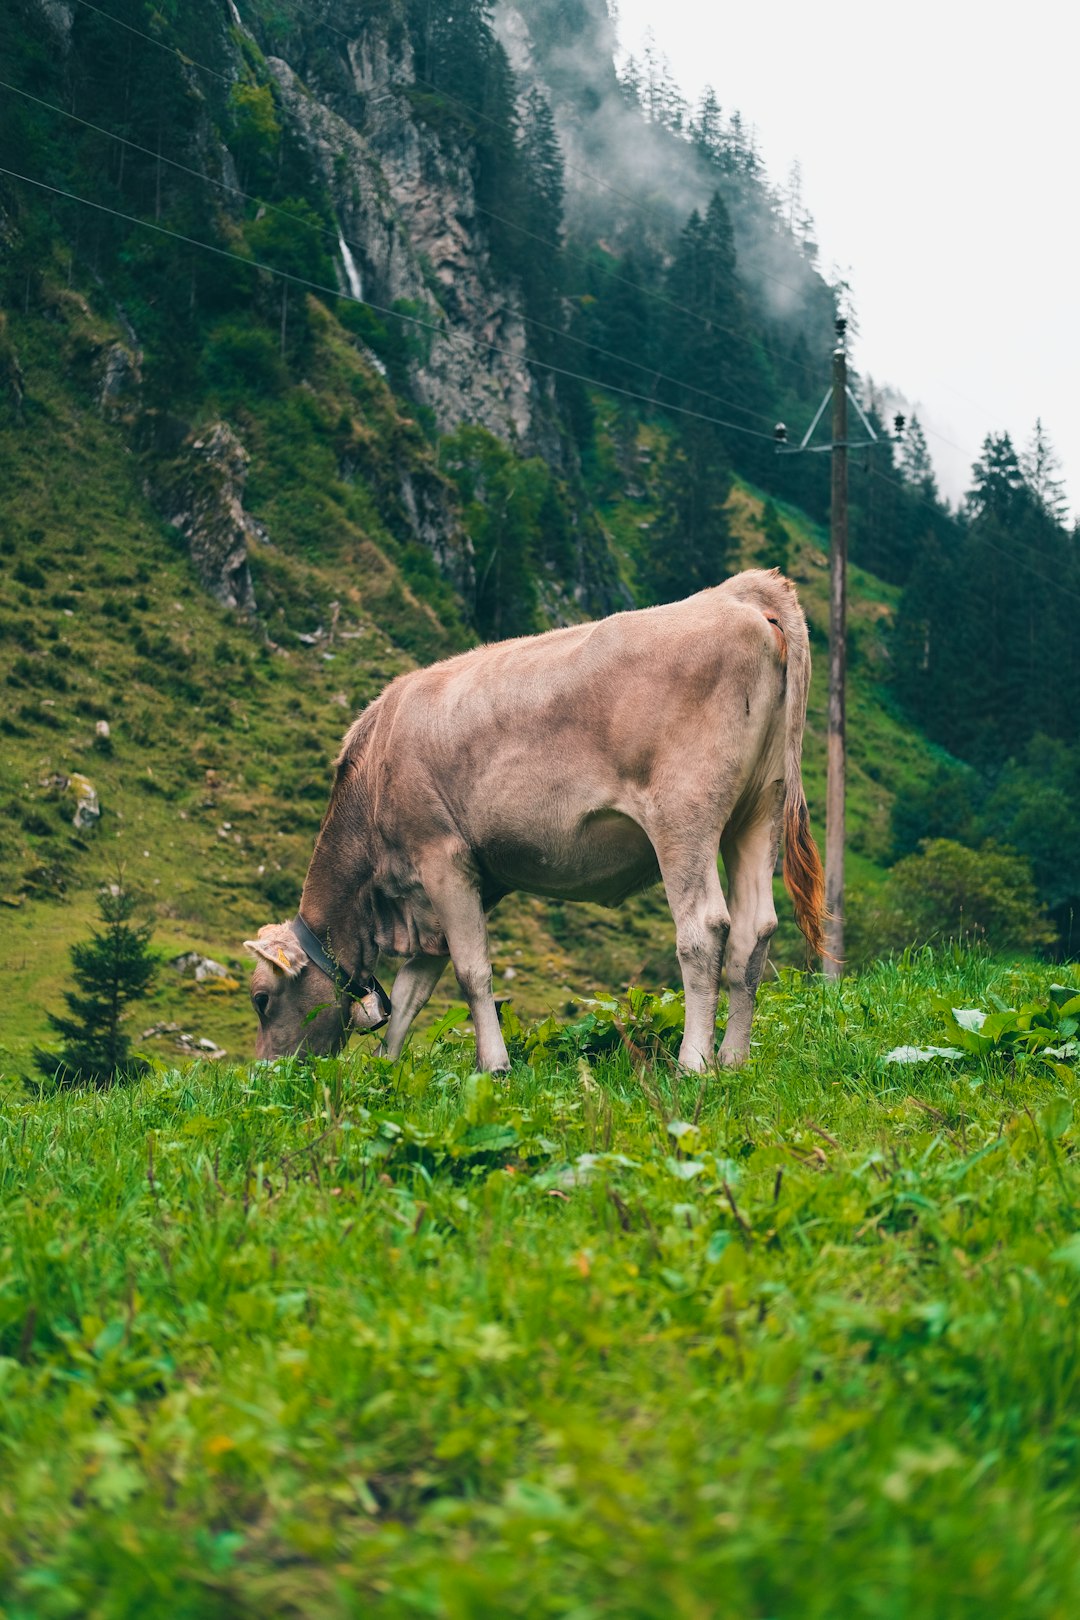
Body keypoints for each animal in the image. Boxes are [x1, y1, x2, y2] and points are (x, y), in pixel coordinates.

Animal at [242, 570, 819, 1075]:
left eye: (261, 999)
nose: (267, 1075)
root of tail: (734, 593)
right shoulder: (442, 894)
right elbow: (411, 993)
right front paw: (386, 1069)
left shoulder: (441, 858)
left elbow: (471, 973)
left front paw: (494, 1067)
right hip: (759, 810)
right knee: (753, 933)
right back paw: (734, 1061)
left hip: (684, 814)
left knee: (703, 929)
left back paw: (694, 1063)